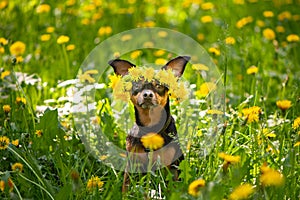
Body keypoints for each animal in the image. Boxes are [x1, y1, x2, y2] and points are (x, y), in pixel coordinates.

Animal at [109, 55, 191, 192]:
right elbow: (126, 187)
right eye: (137, 84)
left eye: (158, 85)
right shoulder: (132, 165)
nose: (147, 94)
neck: (151, 127)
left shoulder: (172, 167)